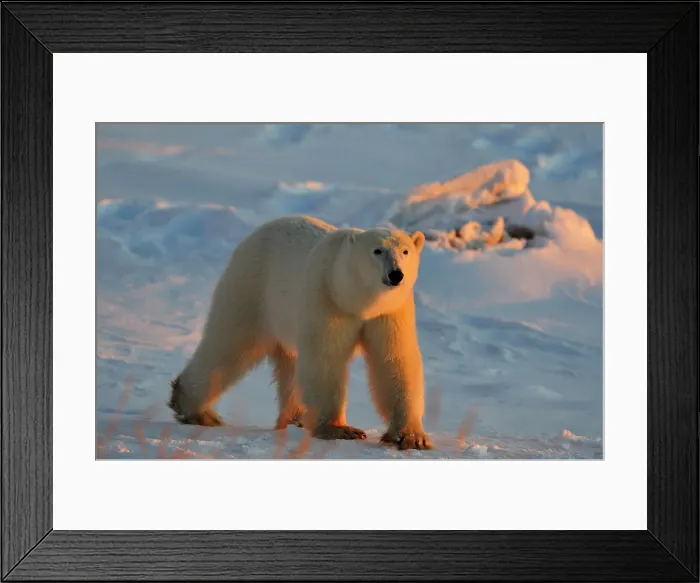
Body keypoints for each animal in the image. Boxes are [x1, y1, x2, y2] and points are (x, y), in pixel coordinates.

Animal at [168, 214, 432, 450]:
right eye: (377, 251)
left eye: (405, 251)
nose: (396, 274)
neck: (354, 299)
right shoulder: (325, 297)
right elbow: (325, 358)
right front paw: (339, 429)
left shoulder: (390, 311)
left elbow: (394, 360)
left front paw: (412, 437)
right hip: (254, 289)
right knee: (230, 344)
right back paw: (197, 410)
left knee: (289, 365)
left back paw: (295, 419)